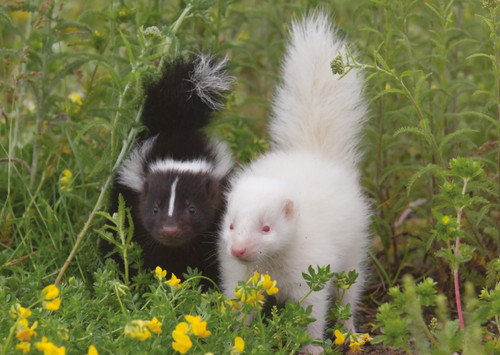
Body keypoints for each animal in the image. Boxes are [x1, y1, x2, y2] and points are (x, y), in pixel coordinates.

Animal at [219, 11, 372, 354]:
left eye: (266, 228)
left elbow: (311, 309)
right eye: (232, 225)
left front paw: (312, 346)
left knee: (349, 288)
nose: (239, 249)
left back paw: (350, 331)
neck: (271, 264)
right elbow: (242, 303)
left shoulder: (309, 264)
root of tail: (313, 151)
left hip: (354, 244)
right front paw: (237, 339)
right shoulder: (242, 275)